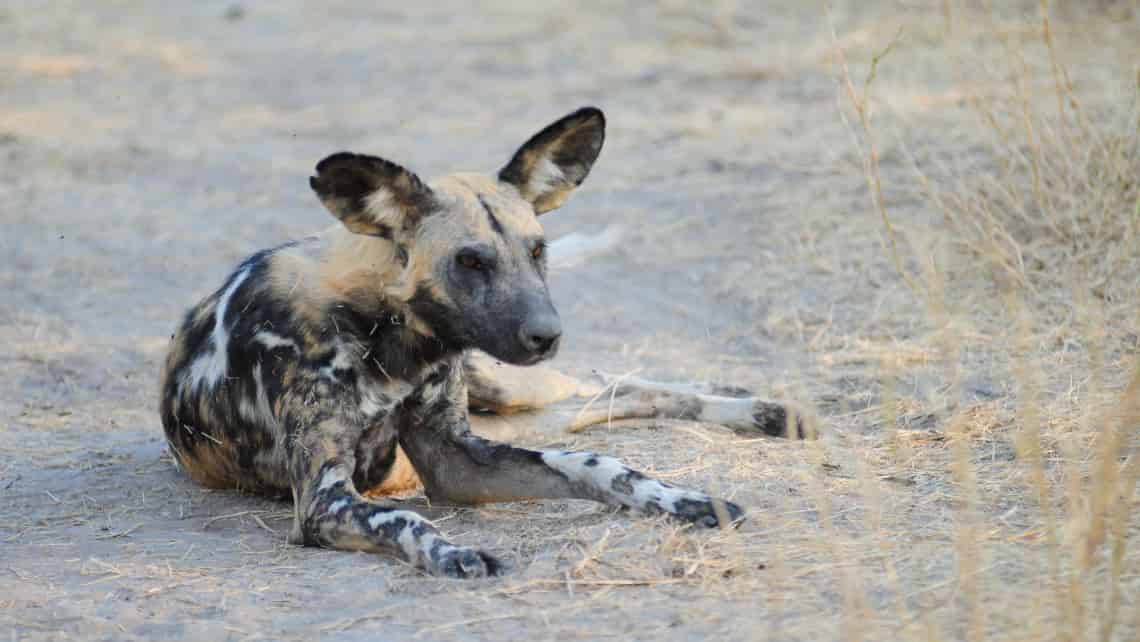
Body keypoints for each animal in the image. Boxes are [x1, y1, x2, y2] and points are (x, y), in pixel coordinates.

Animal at [158, 107, 811, 579]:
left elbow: (596, 463)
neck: (390, 339)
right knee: (603, 398)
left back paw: (765, 408)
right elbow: (405, 520)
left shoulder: (455, 452)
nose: (547, 333)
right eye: (470, 261)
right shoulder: (327, 499)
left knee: (608, 386)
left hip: (503, 379)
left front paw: (683, 500)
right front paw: (454, 555)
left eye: (537, 250)